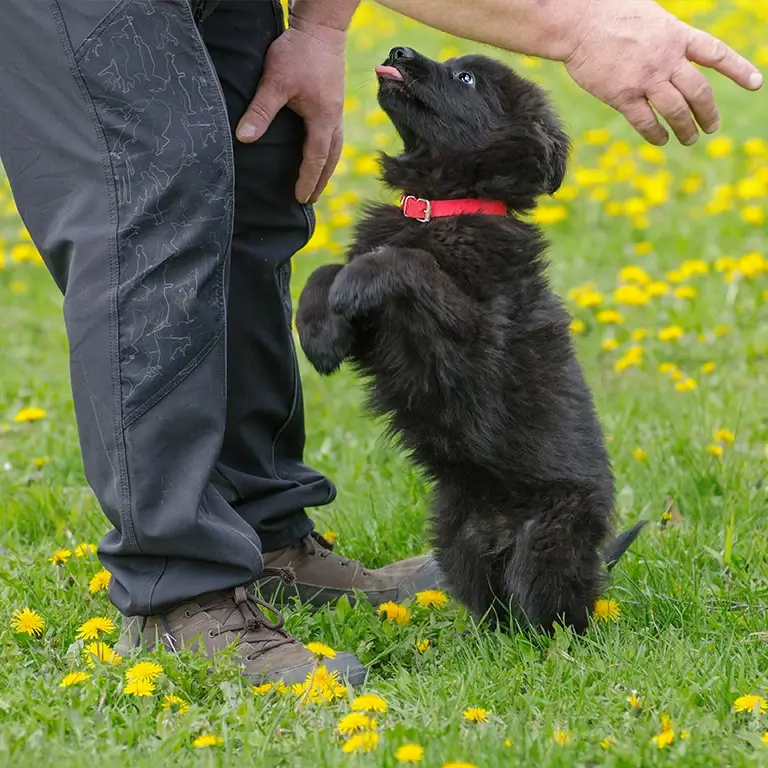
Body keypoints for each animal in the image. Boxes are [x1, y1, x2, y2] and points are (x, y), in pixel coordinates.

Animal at [296, 49, 644, 636]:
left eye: (466, 78)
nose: (397, 53)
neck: (444, 206)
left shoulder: (472, 344)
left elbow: (407, 262)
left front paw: (361, 278)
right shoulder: (381, 342)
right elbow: (324, 271)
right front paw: (318, 332)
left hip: (546, 541)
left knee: (555, 612)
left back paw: (552, 645)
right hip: (456, 539)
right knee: (493, 605)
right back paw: (477, 638)